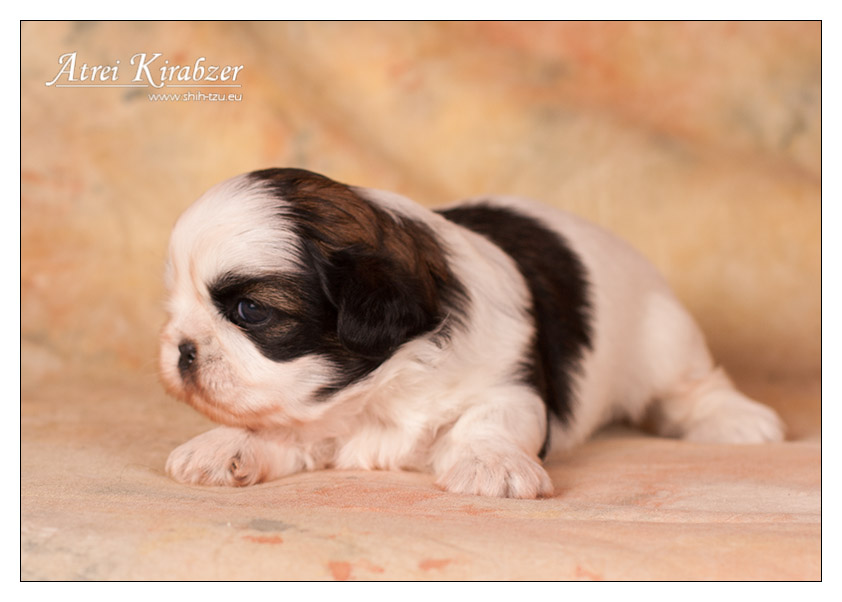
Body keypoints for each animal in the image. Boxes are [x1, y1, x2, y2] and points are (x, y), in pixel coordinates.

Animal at [160, 168, 784, 498]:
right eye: (174, 307)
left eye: (249, 311)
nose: (181, 350)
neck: (382, 392)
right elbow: (280, 427)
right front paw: (224, 445)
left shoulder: (511, 382)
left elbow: (493, 420)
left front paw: (492, 464)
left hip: (663, 337)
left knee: (694, 386)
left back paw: (735, 419)